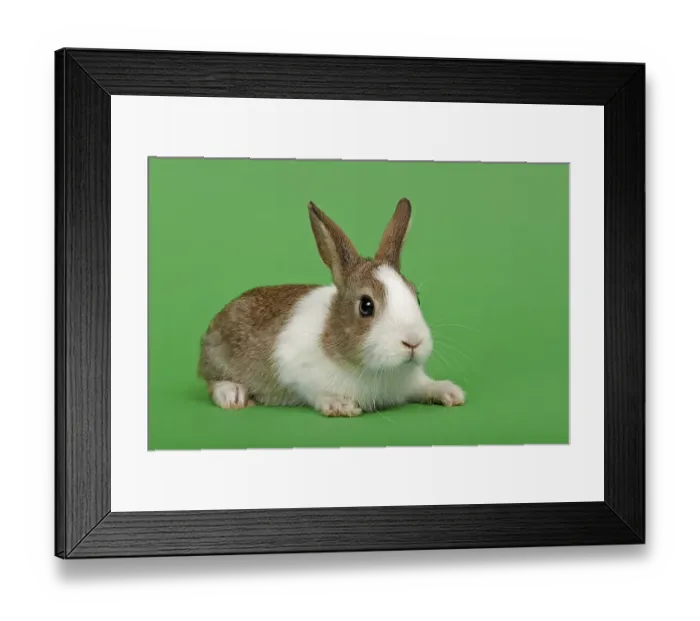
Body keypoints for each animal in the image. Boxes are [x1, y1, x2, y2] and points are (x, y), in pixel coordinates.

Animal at [197, 198, 466, 417]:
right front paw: (340, 405)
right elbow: (313, 392)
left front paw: (450, 392)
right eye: (366, 306)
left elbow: (423, 385)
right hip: (217, 359)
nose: (413, 342)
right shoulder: (296, 372)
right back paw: (232, 395)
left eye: (416, 297)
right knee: (212, 382)